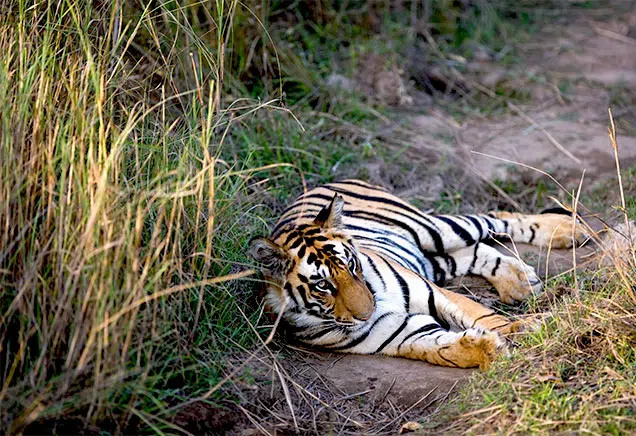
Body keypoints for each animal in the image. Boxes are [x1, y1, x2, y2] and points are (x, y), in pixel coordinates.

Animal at [248, 180, 588, 368]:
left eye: (352, 265)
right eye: (322, 285)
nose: (368, 311)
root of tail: (328, 182)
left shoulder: (433, 292)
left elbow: (482, 314)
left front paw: (527, 328)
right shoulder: (401, 333)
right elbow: (441, 349)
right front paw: (485, 349)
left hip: (432, 228)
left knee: (494, 219)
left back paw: (566, 229)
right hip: (432, 259)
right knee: (472, 251)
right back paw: (518, 282)